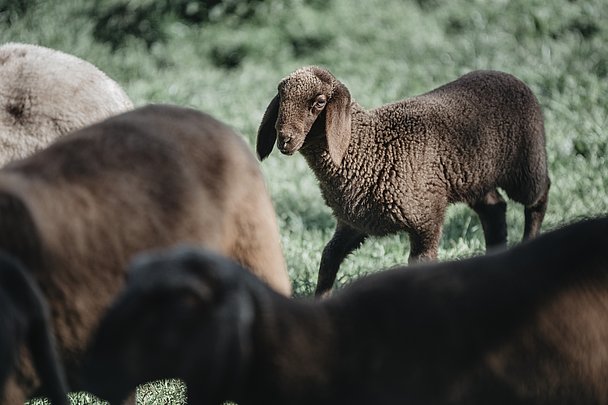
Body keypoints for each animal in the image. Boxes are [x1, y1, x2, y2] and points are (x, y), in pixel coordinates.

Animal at [256, 65, 552, 294]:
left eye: (319, 102)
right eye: (281, 99)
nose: (284, 139)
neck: (367, 148)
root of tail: (509, 76)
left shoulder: (426, 219)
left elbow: (420, 265)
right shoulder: (354, 223)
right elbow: (329, 258)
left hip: (525, 163)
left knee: (539, 196)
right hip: (473, 178)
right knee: (494, 209)